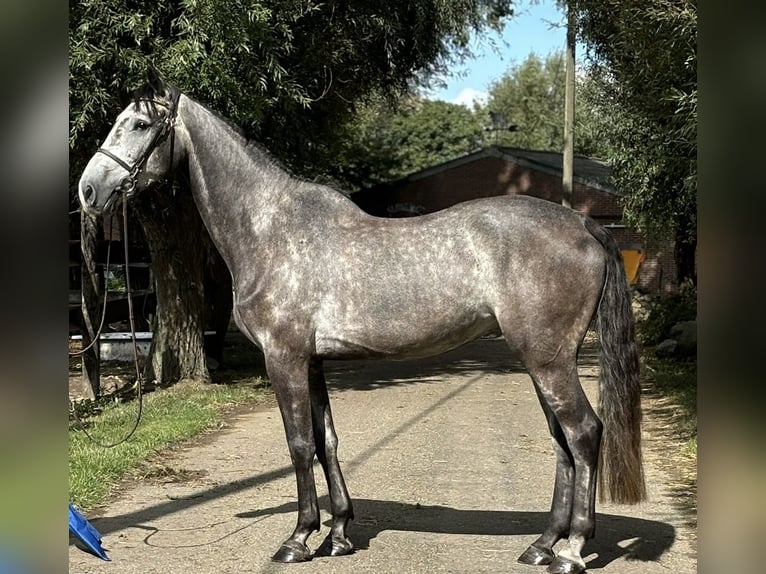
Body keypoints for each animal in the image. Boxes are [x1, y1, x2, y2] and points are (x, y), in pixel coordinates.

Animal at [78, 71, 644, 574]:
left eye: (139, 125)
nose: (88, 190)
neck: (272, 229)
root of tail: (583, 223)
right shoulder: (312, 362)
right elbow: (326, 440)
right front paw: (338, 534)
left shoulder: (284, 358)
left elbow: (299, 444)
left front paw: (298, 539)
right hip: (540, 360)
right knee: (562, 443)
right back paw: (541, 545)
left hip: (548, 360)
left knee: (584, 433)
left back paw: (572, 550)